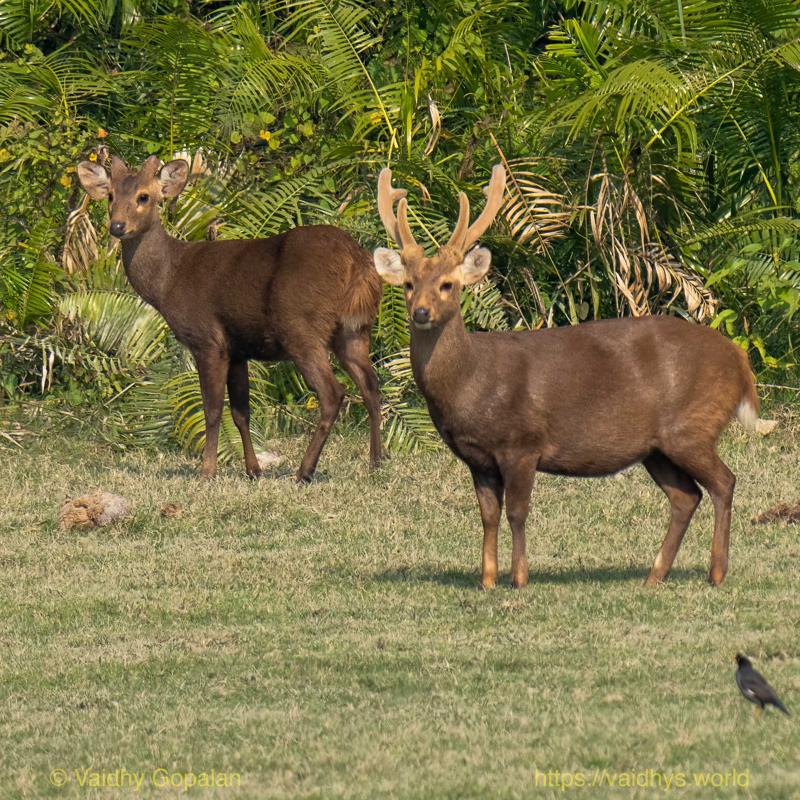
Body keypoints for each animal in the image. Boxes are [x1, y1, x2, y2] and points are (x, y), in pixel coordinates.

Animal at [77, 154, 383, 482]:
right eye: (110, 195)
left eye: (144, 196)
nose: (117, 226)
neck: (169, 279)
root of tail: (358, 261)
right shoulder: (238, 348)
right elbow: (240, 412)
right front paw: (253, 470)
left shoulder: (208, 339)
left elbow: (212, 410)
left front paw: (207, 471)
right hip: (354, 329)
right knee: (371, 385)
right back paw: (376, 462)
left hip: (302, 325)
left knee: (333, 393)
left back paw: (305, 471)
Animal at [373, 164, 774, 589]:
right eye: (409, 284)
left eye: (448, 284)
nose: (421, 312)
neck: (473, 384)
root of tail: (740, 361)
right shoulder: (477, 457)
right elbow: (488, 515)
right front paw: (487, 580)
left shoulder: (522, 443)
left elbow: (517, 512)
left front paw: (519, 578)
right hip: (657, 447)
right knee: (686, 496)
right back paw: (655, 575)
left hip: (693, 425)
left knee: (723, 482)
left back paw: (716, 572)